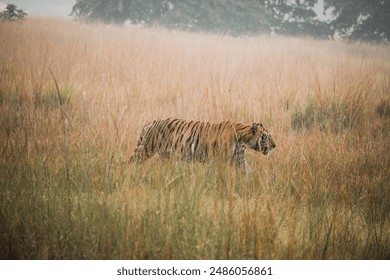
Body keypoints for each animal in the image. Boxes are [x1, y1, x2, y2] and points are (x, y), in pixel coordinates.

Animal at [129, 117, 276, 168]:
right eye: (266, 136)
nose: (275, 146)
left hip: (165, 155)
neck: (243, 140)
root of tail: (151, 122)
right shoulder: (218, 159)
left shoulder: (239, 160)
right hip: (146, 149)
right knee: (132, 161)